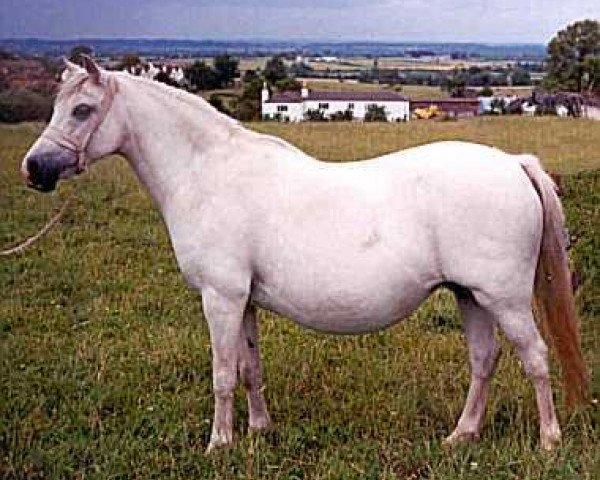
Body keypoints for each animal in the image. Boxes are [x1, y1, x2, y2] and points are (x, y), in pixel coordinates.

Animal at [22, 58, 584, 452]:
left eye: (82, 110)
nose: (35, 169)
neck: (207, 172)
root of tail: (512, 164)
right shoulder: (243, 300)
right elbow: (249, 367)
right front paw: (258, 431)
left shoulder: (220, 298)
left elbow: (222, 374)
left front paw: (218, 444)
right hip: (469, 294)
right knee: (484, 359)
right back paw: (462, 435)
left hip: (504, 298)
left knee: (535, 358)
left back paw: (548, 440)